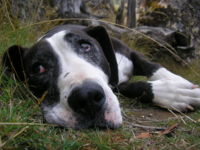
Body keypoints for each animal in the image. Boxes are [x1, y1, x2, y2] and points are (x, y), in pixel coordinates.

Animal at [1, 24, 200, 129]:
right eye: (38, 68)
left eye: (86, 46)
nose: (87, 97)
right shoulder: (116, 84)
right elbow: (134, 86)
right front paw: (172, 93)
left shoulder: (131, 53)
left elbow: (155, 67)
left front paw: (178, 85)